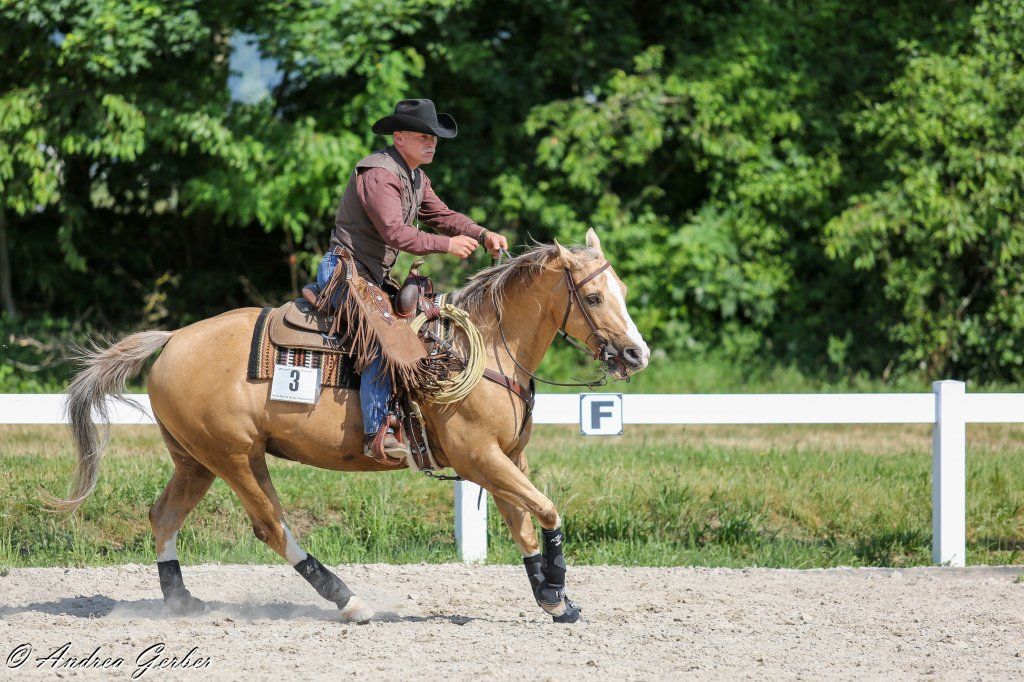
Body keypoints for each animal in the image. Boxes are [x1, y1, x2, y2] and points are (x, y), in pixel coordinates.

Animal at [56, 228, 650, 623]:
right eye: (593, 296)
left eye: (620, 289)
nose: (636, 353)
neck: (477, 349)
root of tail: (173, 338)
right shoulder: (478, 457)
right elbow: (545, 508)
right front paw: (558, 590)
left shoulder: (505, 457)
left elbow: (524, 521)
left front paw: (553, 597)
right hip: (236, 458)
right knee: (271, 526)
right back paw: (350, 600)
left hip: (196, 460)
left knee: (164, 515)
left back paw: (181, 601)